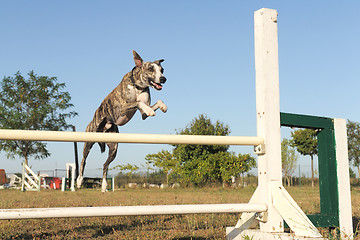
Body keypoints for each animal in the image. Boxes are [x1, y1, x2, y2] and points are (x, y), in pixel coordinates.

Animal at [77, 51, 167, 193]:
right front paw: (149, 110)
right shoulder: (123, 108)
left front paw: (162, 106)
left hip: (113, 149)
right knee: (83, 161)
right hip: (88, 142)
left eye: (162, 70)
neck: (138, 86)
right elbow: (138, 102)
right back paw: (79, 181)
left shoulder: (143, 115)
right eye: (150, 69)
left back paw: (104, 186)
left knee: (105, 165)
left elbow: (153, 103)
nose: (163, 79)